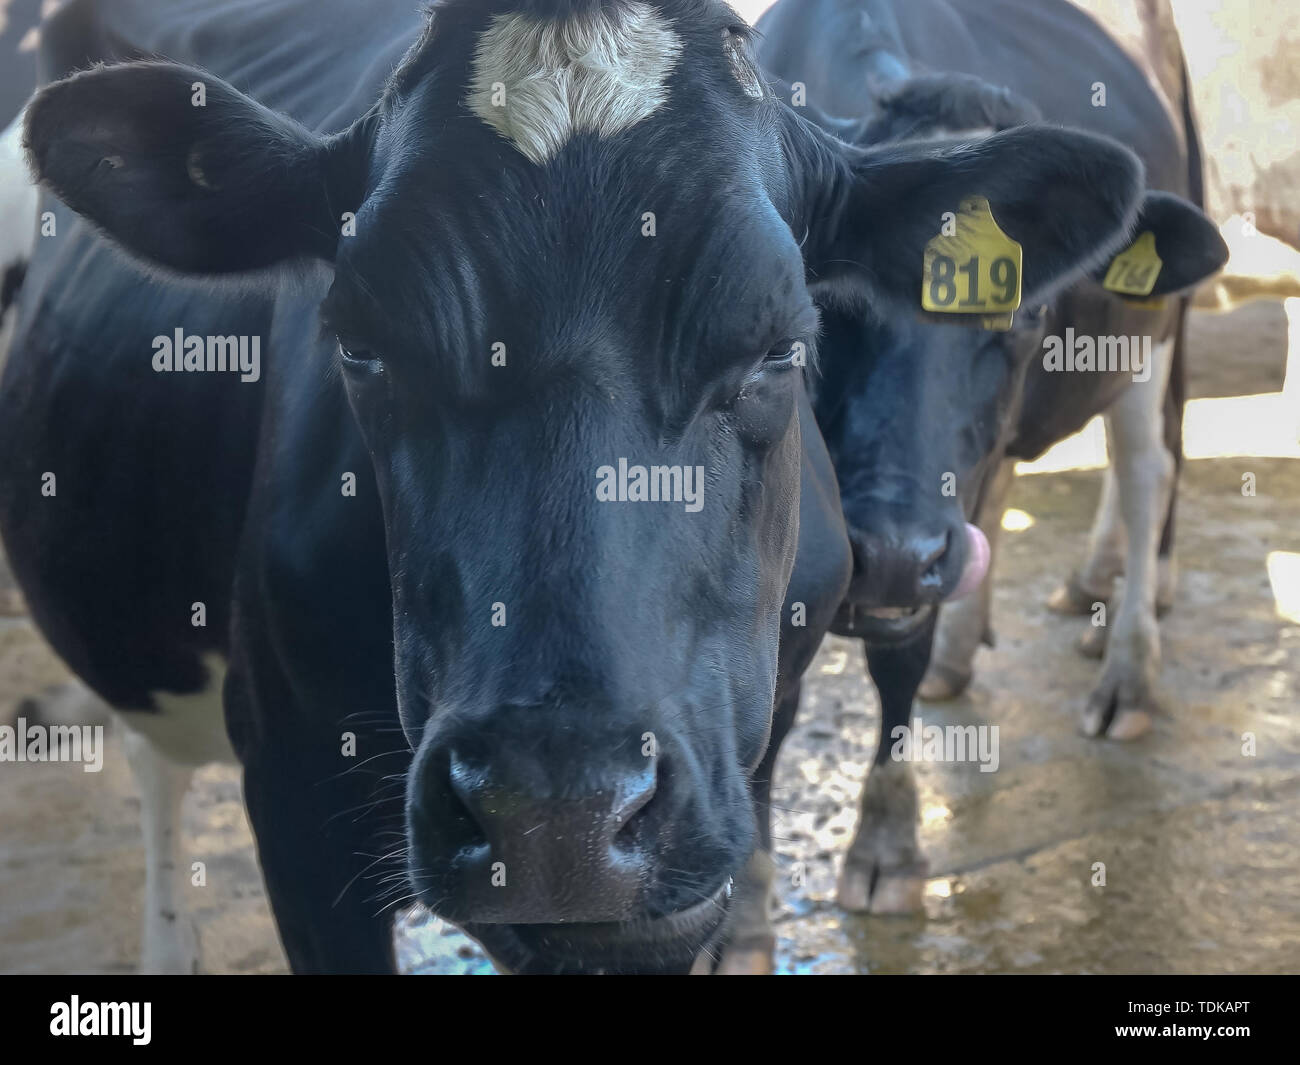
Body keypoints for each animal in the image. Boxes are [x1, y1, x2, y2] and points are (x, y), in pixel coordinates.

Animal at [749, 0, 1228, 940]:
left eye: (1030, 312)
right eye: (818, 303)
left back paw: (1127, 662)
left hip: (1156, 337)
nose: (894, 554)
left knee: (1147, 468)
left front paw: (887, 842)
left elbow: (895, 657)